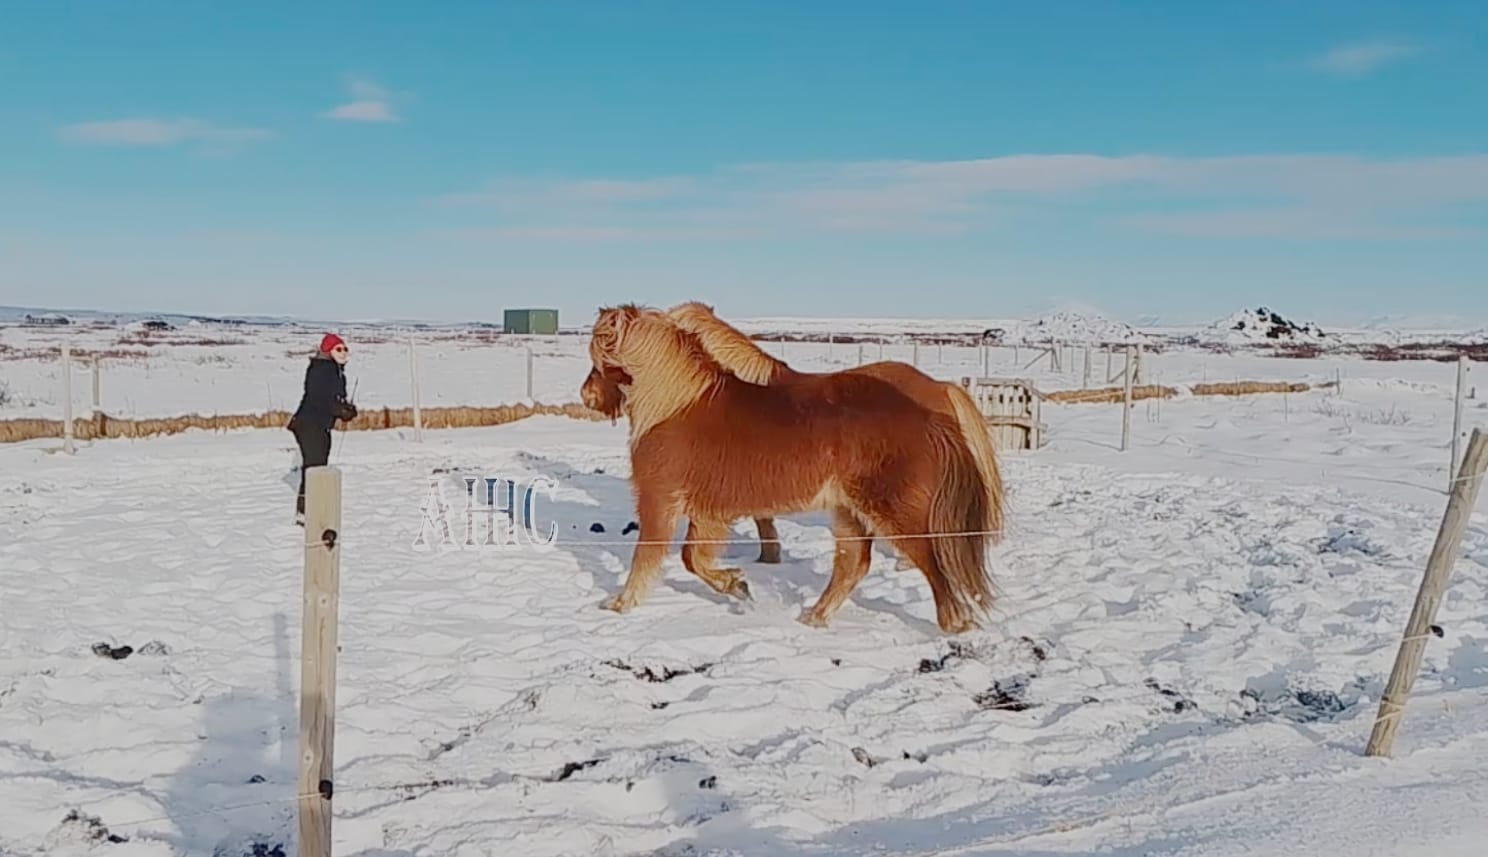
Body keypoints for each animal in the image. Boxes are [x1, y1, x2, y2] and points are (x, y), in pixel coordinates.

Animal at [585, 303, 999, 634]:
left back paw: (956, 624)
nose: (586, 396)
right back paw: (814, 617)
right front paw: (738, 586)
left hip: (893, 509)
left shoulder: (660, 499)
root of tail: (929, 413)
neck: (674, 404)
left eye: (598, 357)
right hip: (849, 511)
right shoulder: (710, 512)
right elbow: (694, 559)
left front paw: (620, 604)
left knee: (931, 561)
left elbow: (648, 555)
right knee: (853, 564)